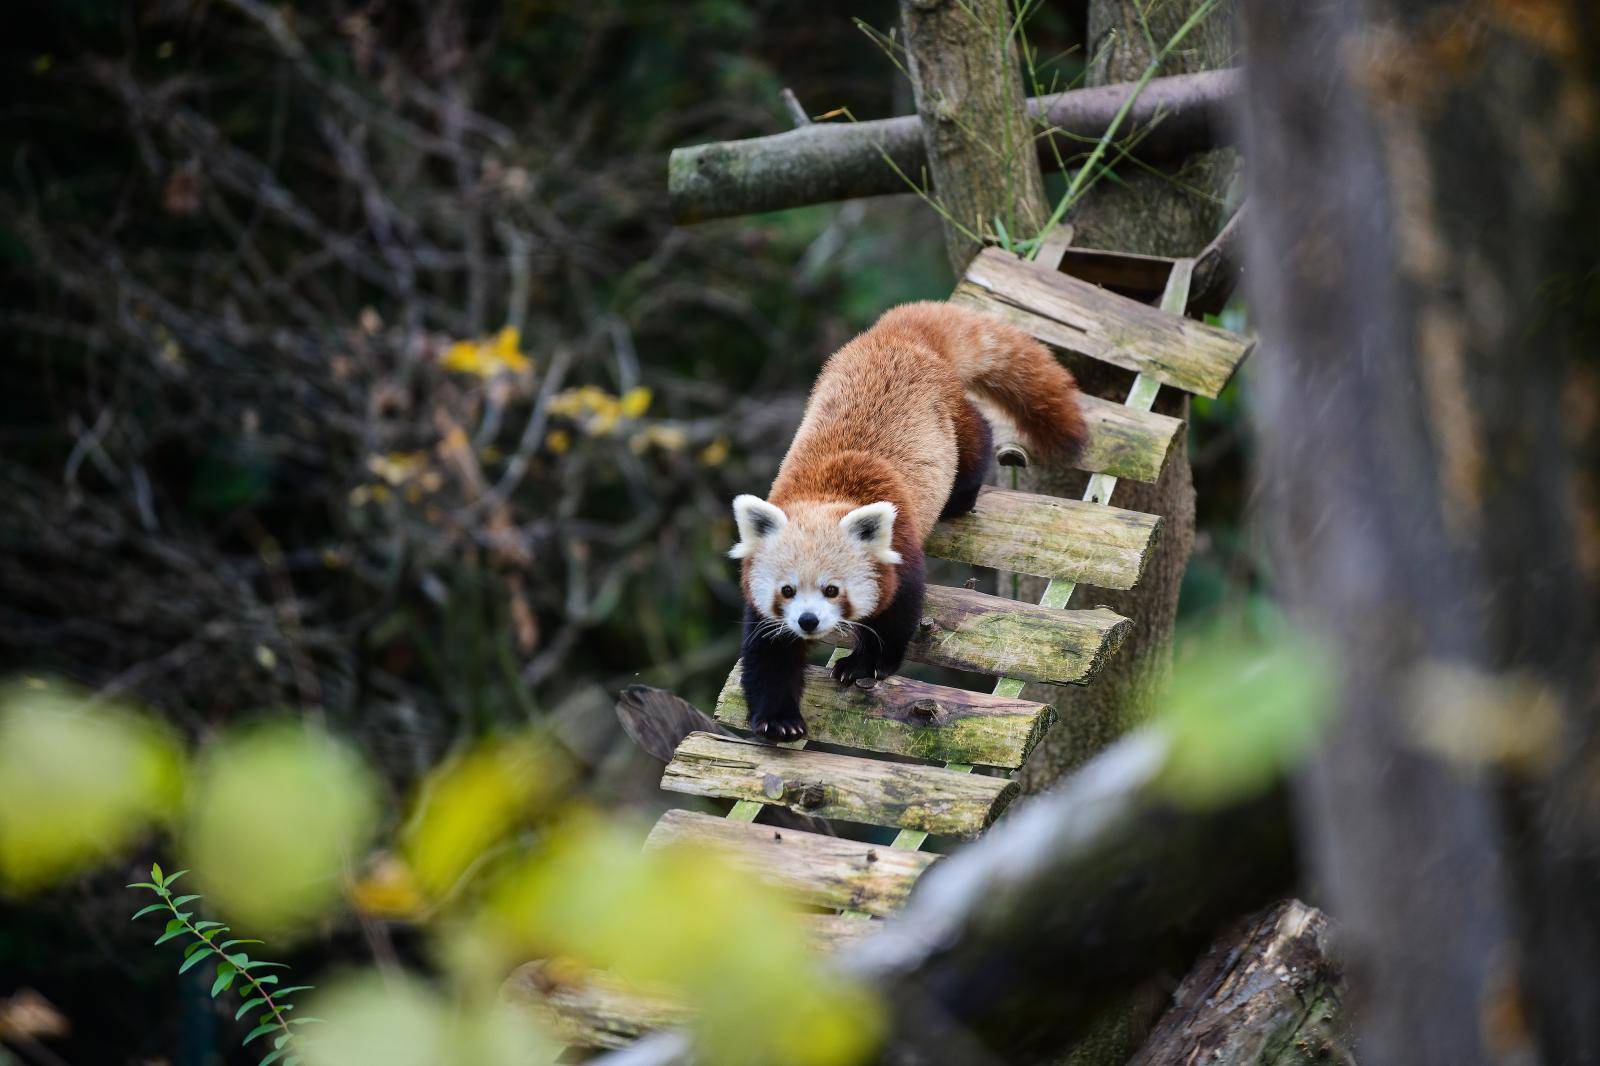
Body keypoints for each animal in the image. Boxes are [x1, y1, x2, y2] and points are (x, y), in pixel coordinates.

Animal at [729, 299, 1088, 739]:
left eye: (832, 590)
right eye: (787, 590)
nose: (808, 621)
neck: (826, 493)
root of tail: (896, 335)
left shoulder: (899, 546)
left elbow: (897, 615)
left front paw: (863, 665)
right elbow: (769, 652)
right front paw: (778, 720)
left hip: (950, 418)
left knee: (976, 439)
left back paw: (960, 496)